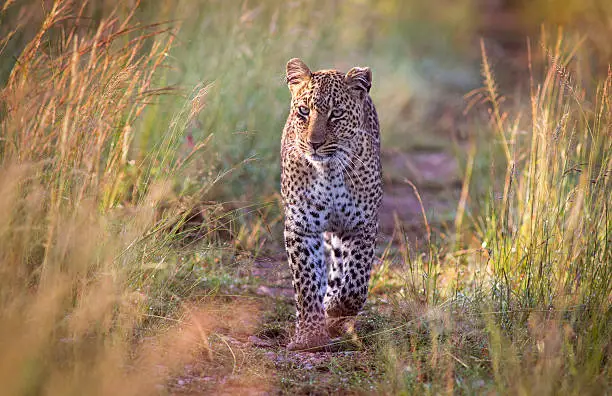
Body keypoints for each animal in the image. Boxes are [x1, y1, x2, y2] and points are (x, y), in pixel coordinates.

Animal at [280, 58, 380, 350]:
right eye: (303, 111)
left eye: (336, 114)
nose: (314, 143)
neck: (329, 171)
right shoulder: (301, 227)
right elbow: (306, 282)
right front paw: (309, 335)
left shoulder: (362, 225)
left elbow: (356, 282)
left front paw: (336, 309)